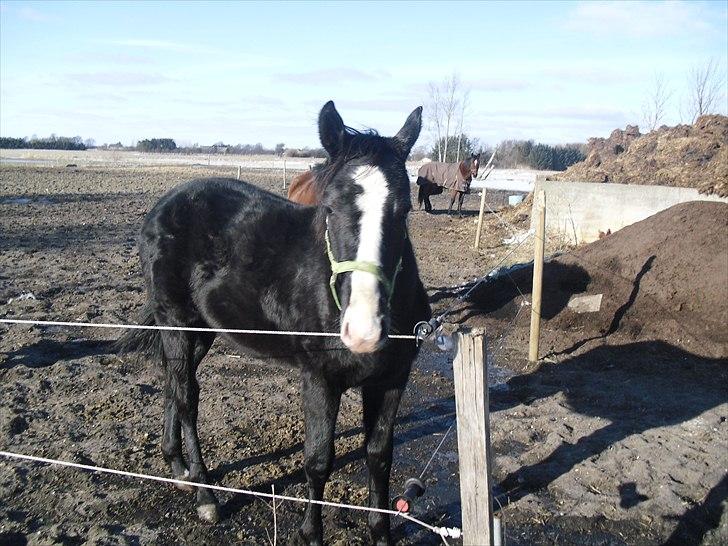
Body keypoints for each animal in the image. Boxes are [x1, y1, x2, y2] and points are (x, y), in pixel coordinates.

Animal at [116, 102, 430, 544]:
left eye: (404, 211)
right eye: (329, 208)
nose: (364, 331)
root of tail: (166, 204)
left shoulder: (391, 380)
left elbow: (379, 456)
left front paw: (380, 533)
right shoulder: (319, 378)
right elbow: (318, 460)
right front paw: (310, 533)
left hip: (200, 330)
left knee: (173, 386)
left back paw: (177, 469)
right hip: (174, 321)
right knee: (187, 398)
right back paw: (204, 495)